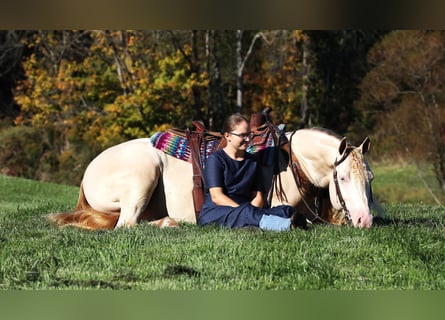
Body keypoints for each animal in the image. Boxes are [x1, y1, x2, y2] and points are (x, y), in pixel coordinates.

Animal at [46, 124, 376, 229]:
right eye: (342, 178)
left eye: (369, 178)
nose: (365, 220)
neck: (292, 162)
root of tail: (88, 172)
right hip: (143, 176)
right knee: (127, 224)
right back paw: (170, 223)